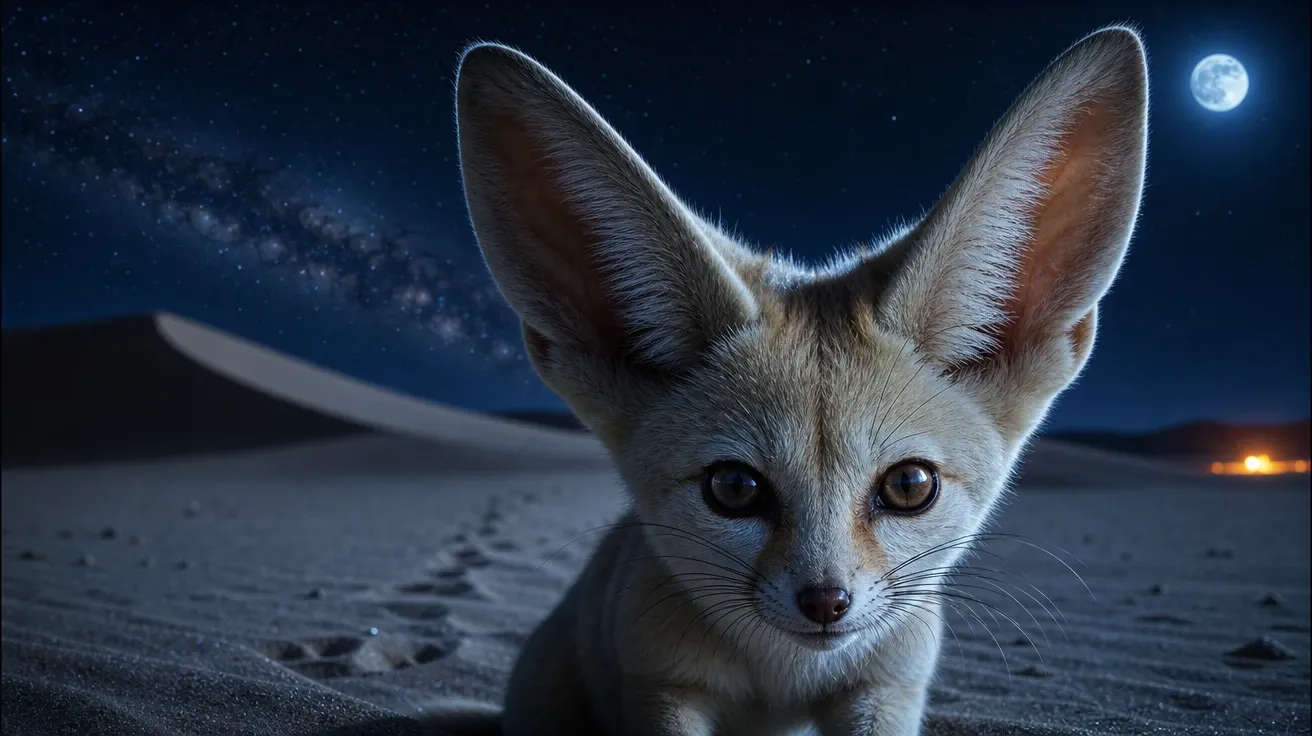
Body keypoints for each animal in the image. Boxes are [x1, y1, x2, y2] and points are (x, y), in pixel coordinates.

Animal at [452, 24, 1148, 736]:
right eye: (734, 488)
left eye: (910, 485)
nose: (825, 601)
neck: (783, 685)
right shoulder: (663, 685)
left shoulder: (887, 687)